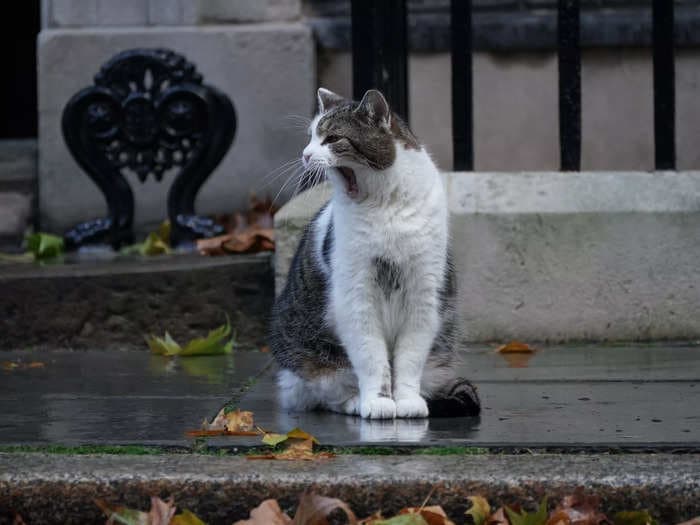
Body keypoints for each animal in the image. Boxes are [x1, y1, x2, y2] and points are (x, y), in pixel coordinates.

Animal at [270, 88, 482, 420]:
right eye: (311, 137)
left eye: (332, 138)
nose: (305, 155)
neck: (385, 205)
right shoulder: (356, 297)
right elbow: (371, 359)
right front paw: (378, 402)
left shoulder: (423, 295)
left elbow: (410, 359)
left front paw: (407, 401)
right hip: (308, 355)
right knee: (326, 392)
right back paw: (355, 401)